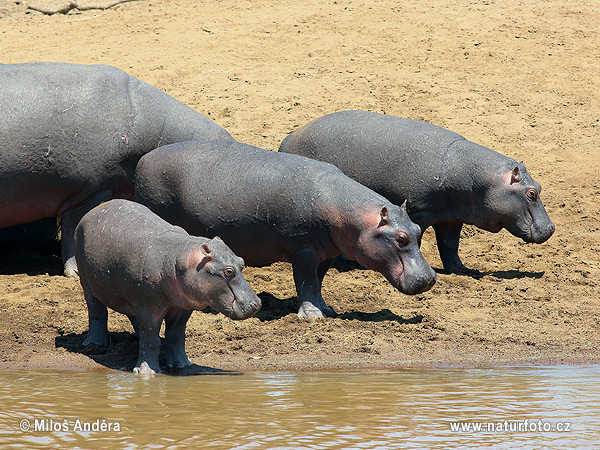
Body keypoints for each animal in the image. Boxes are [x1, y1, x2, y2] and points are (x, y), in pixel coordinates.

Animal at [73, 199, 260, 374]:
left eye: (241, 262)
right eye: (228, 271)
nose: (256, 304)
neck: (179, 258)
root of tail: (93, 210)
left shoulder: (183, 307)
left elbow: (175, 336)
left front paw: (183, 364)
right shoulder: (148, 307)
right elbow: (151, 339)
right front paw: (146, 372)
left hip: (130, 293)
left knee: (133, 316)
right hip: (87, 283)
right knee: (96, 311)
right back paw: (95, 343)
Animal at [135, 140, 436, 320]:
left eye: (418, 229)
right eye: (401, 238)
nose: (430, 278)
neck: (347, 212)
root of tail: (143, 160)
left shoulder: (325, 253)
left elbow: (318, 281)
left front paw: (325, 308)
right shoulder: (303, 250)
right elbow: (306, 281)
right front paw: (313, 316)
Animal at [278, 110, 556, 272]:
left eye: (540, 187)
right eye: (531, 193)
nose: (552, 228)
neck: (477, 179)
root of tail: (288, 137)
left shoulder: (451, 218)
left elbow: (450, 246)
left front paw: (462, 270)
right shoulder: (419, 212)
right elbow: (420, 239)